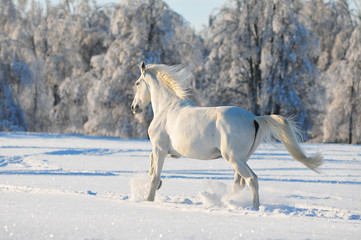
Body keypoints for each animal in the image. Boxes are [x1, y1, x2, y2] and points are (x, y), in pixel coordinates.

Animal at [131, 62, 322, 210]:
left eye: (137, 83)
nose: (135, 107)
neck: (167, 108)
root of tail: (255, 118)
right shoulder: (170, 152)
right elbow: (152, 164)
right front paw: (157, 184)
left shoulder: (160, 148)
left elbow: (155, 176)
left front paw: (149, 199)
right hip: (241, 158)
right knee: (239, 183)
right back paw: (228, 201)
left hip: (233, 157)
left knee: (252, 179)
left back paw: (254, 207)